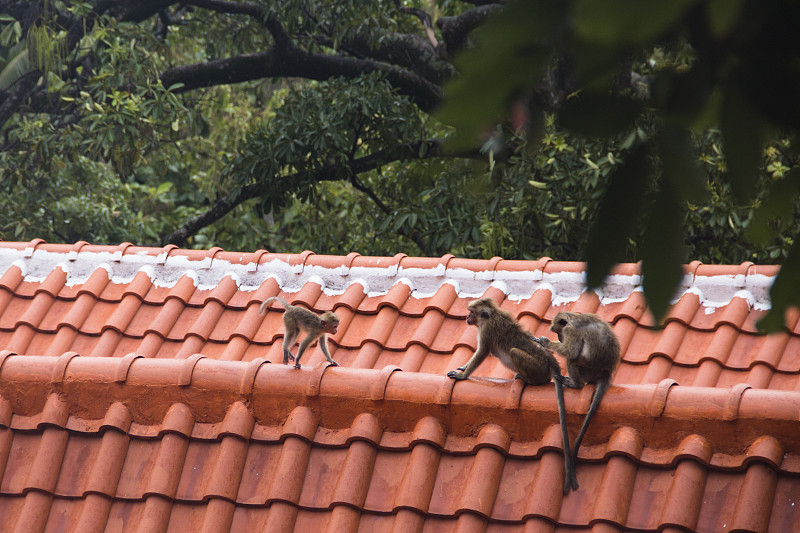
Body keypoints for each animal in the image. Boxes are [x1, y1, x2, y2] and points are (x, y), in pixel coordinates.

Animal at [444, 298, 576, 492]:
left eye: (472, 312)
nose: (467, 317)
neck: (491, 316)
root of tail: (550, 360)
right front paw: (463, 367)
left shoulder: (486, 330)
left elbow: (482, 352)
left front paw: (463, 375)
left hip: (537, 366)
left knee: (515, 352)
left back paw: (530, 380)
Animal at [536, 310, 620, 492]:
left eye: (559, 332)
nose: (559, 338)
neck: (573, 317)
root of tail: (606, 372)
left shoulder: (571, 331)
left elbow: (571, 352)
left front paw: (546, 342)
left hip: (588, 370)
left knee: (573, 359)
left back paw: (576, 384)